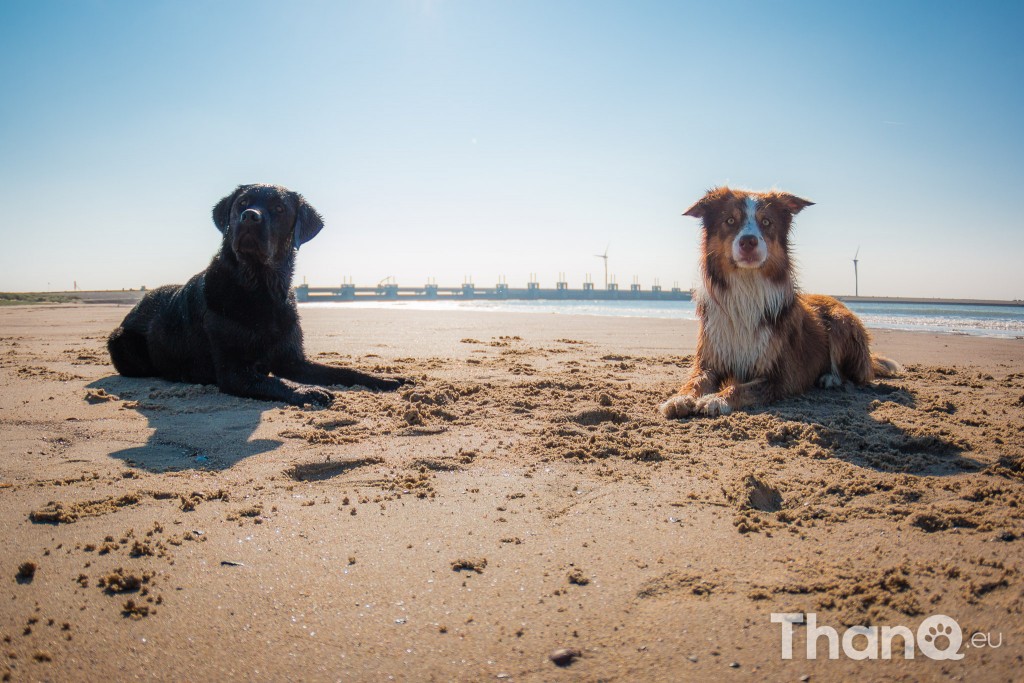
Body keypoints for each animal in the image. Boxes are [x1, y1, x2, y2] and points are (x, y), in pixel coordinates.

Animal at [107, 183, 403, 405]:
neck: (260, 289)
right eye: (242, 202)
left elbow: (344, 371)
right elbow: (273, 380)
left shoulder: (293, 361)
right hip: (121, 341)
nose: (250, 215)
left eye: (279, 208)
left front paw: (388, 379)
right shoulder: (234, 371)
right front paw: (305, 391)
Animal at [659, 184, 901, 419]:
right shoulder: (709, 360)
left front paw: (715, 399)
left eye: (766, 222)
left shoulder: (780, 376)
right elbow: (694, 382)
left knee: (853, 375)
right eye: (730, 220)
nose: (748, 241)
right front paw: (680, 398)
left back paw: (829, 378)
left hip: (840, 321)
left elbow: (740, 388)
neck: (747, 287)